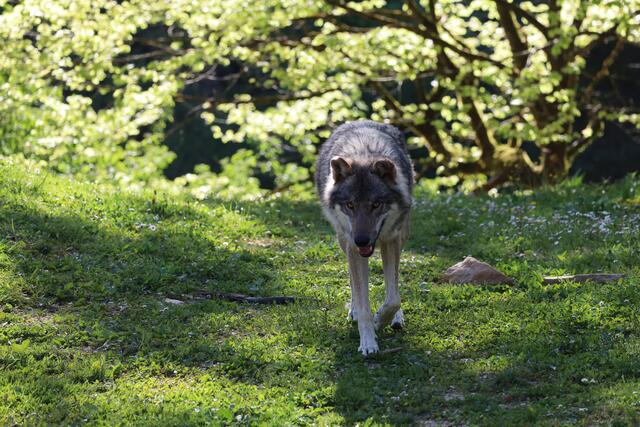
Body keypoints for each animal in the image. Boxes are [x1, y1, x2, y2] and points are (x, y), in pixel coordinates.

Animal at [315, 120, 413, 356]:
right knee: (354, 281)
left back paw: (395, 319)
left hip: (401, 235)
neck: (364, 153)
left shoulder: (391, 240)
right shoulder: (353, 247)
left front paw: (381, 320)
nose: (361, 240)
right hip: (343, 240)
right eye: (350, 205)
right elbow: (363, 300)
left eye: (376, 204)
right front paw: (368, 342)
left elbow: (393, 298)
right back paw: (354, 310)